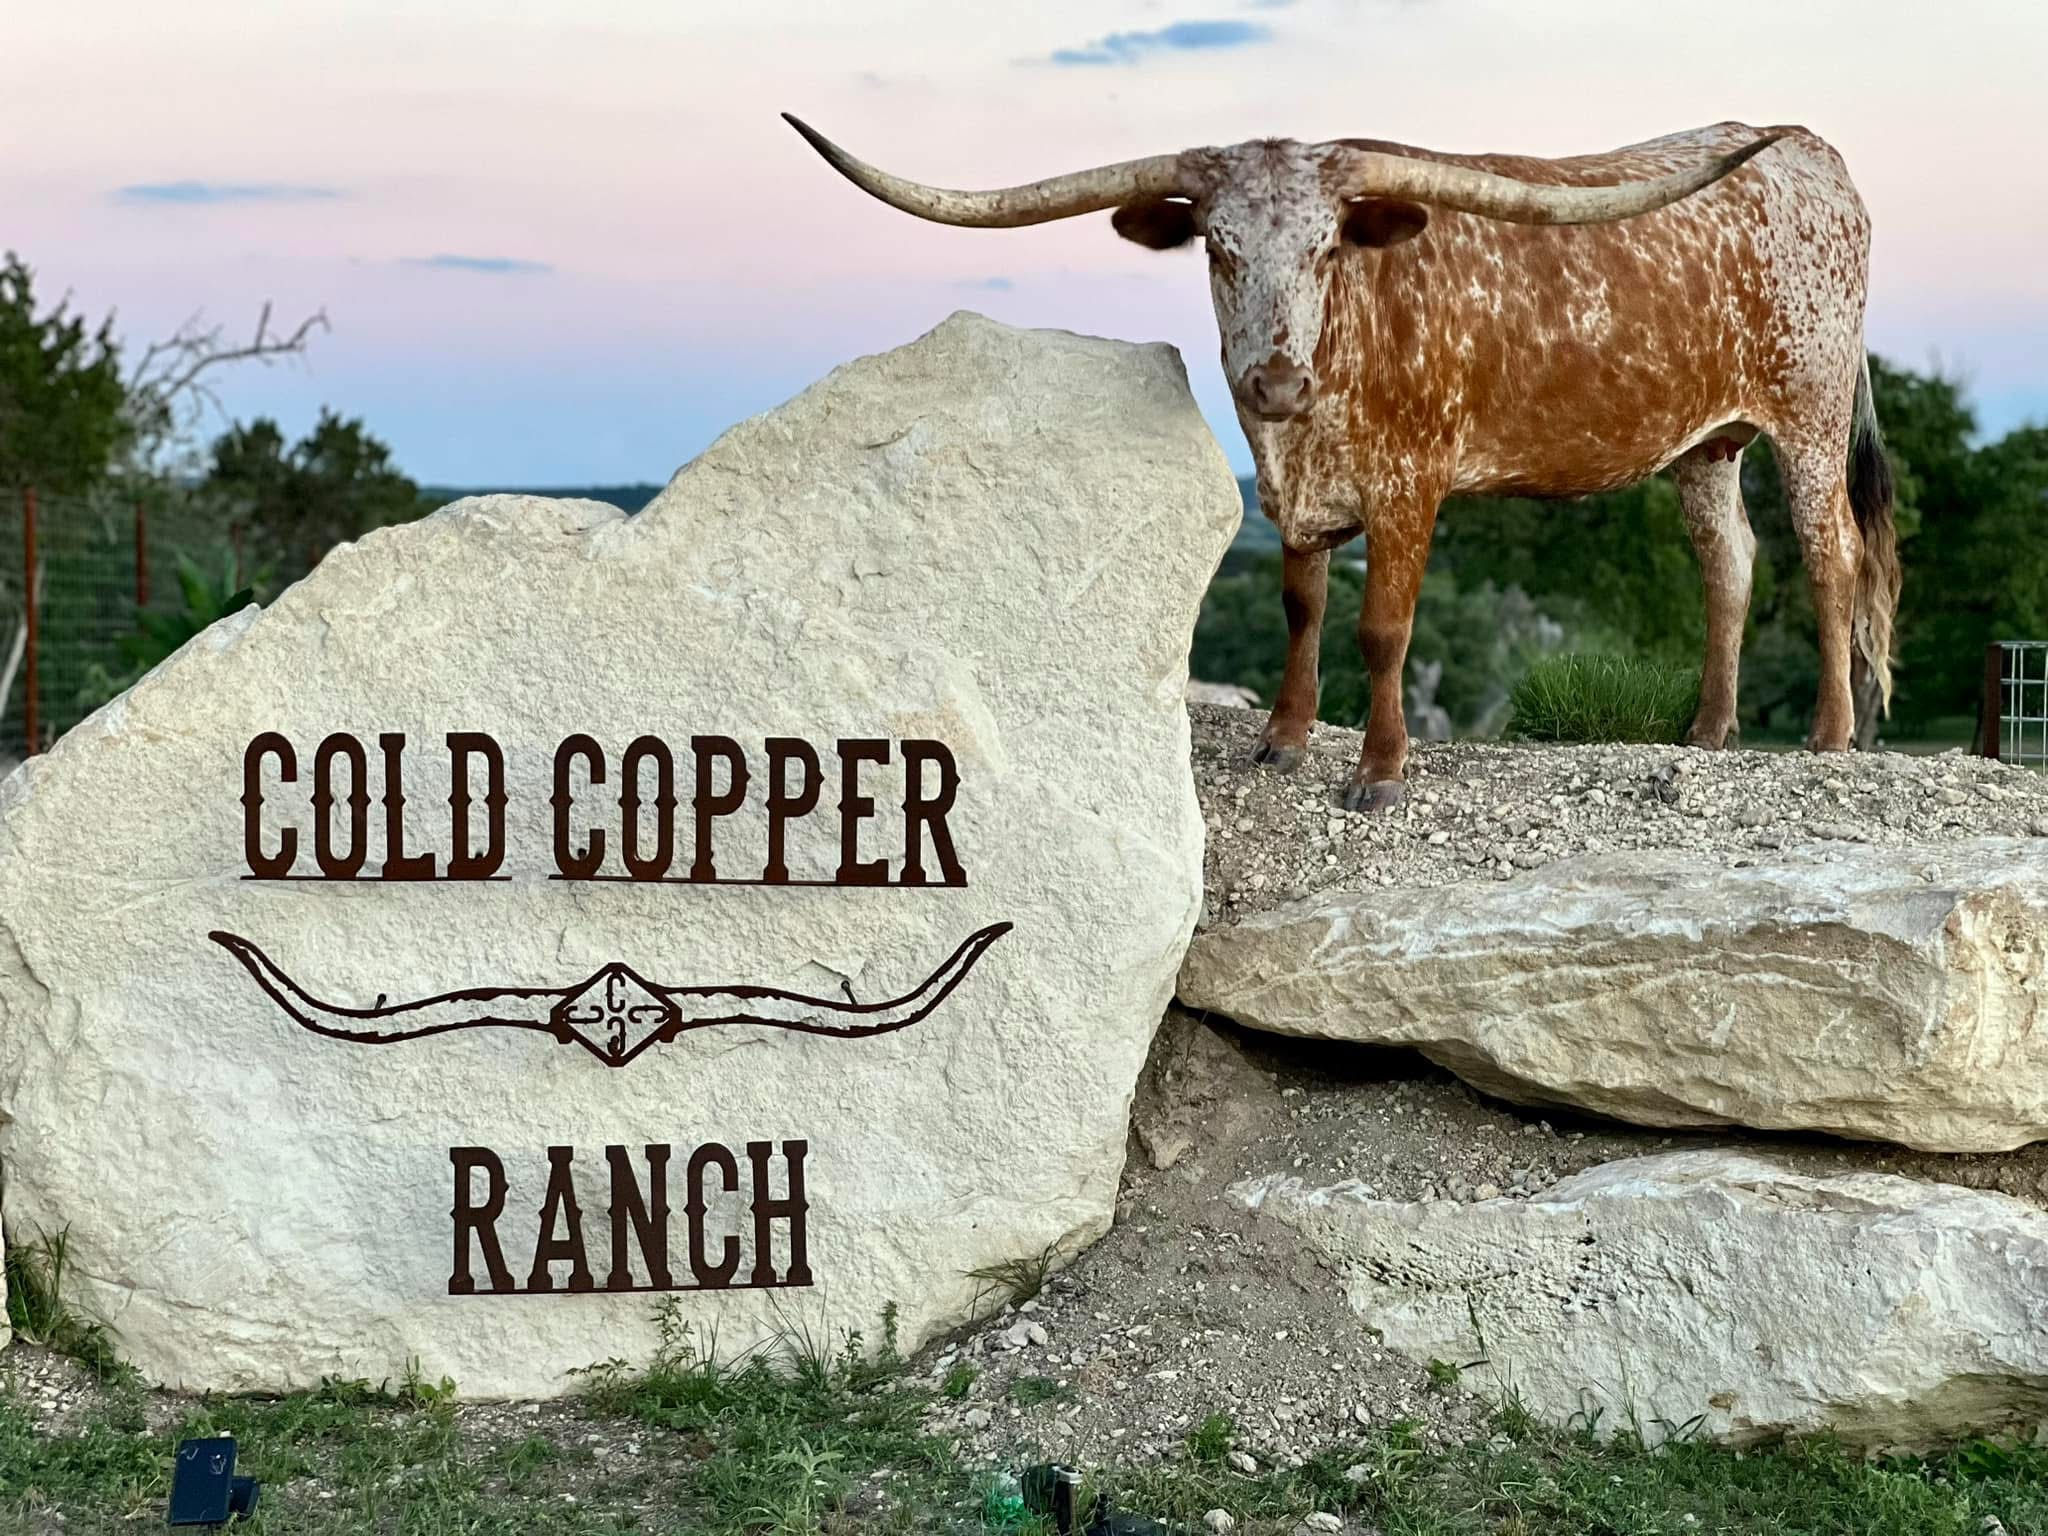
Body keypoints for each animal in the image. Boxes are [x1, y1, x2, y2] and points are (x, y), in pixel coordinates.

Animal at [783, 115, 1899, 810]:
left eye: (1326, 248)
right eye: (1218, 250)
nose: (1274, 383)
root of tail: (1812, 155)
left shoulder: (1410, 484)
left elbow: (1379, 627)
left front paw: (1379, 770)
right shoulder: (1295, 492)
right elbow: (1301, 604)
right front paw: (1282, 737)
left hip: (1808, 410)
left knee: (1831, 553)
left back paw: (1828, 736)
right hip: (1708, 441)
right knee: (1730, 560)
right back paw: (1706, 732)